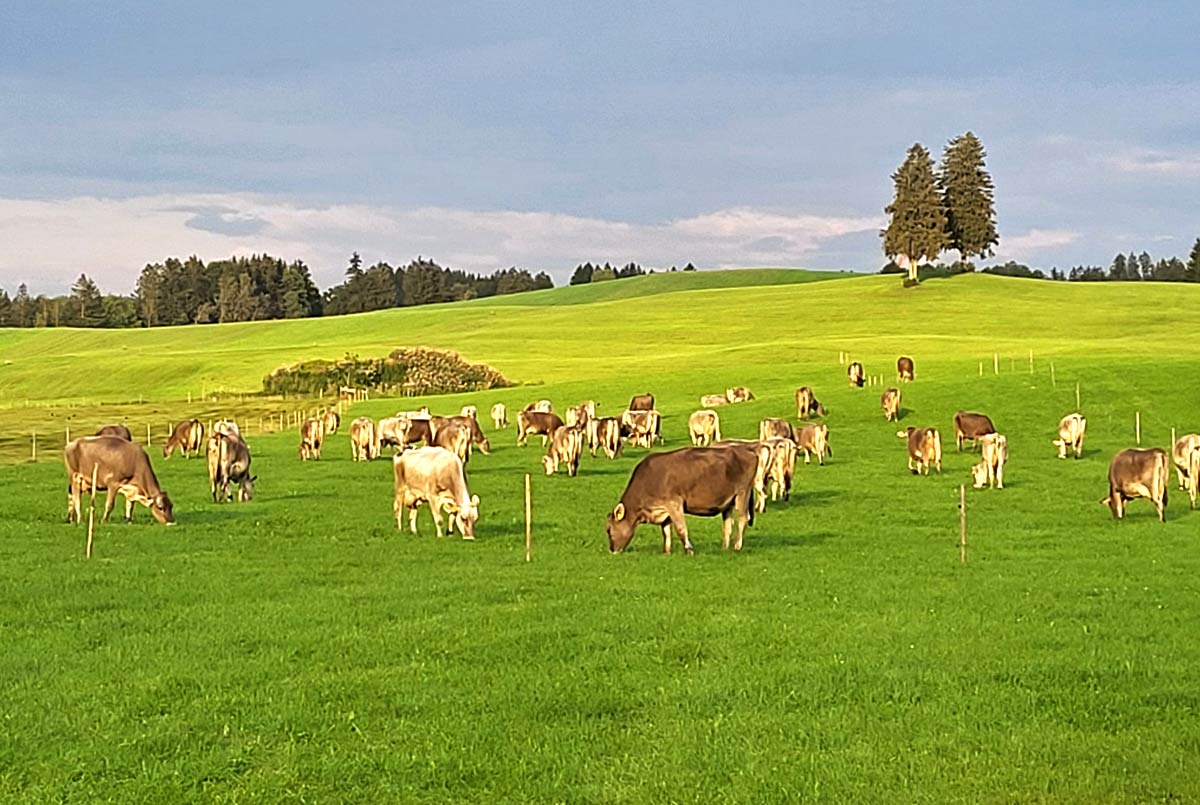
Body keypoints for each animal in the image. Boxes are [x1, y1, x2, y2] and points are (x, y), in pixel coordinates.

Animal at [605, 446, 758, 554]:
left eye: (608, 529)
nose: (612, 550)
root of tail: (749, 452)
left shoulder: (674, 502)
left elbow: (680, 529)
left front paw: (689, 549)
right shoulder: (664, 509)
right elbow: (666, 531)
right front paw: (667, 551)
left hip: (743, 493)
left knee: (743, 518)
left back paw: (737, 546)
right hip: (728, 501)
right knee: (728, 524)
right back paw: (725, 547)